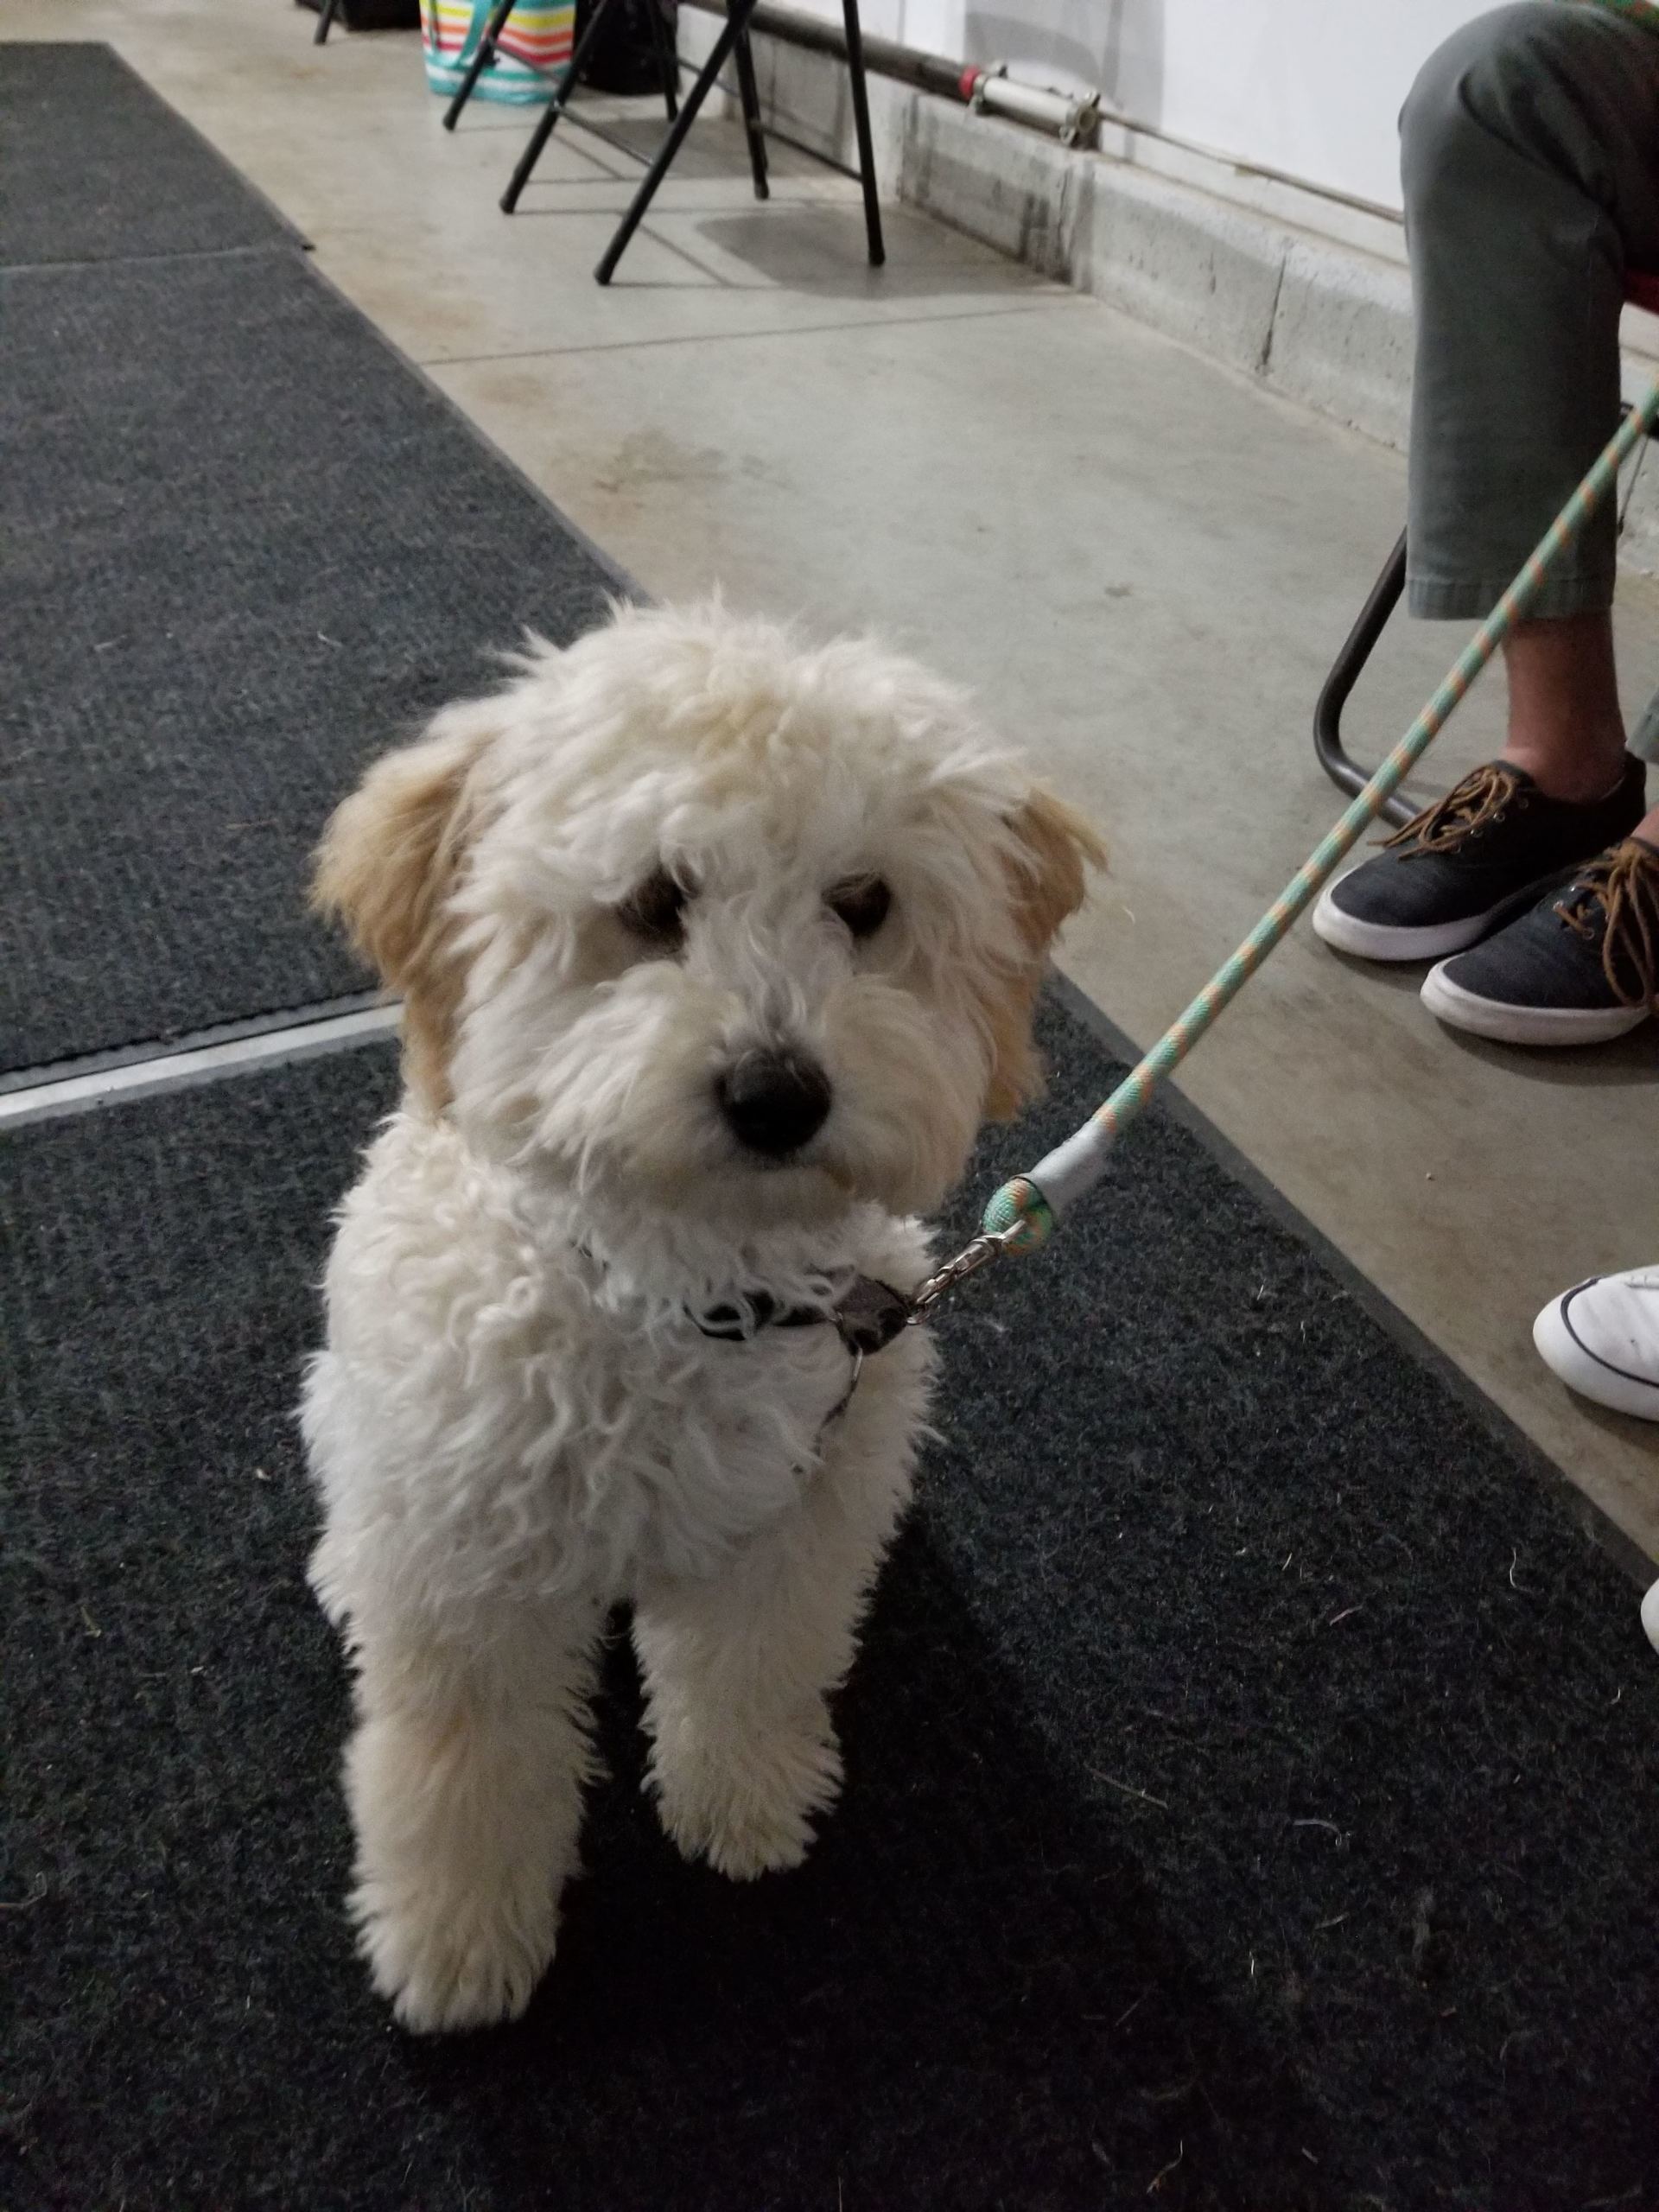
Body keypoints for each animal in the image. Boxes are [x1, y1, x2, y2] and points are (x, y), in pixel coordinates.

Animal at [300, 602, 1101, 2033]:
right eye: (652, 901)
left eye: (864, 903)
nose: (779, 1094)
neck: (688, 1292)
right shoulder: (467, 1574)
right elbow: (461, 1766)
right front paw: (457, 1940)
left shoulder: (802, 1513)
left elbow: (753, 1666)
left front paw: (745, 1801)